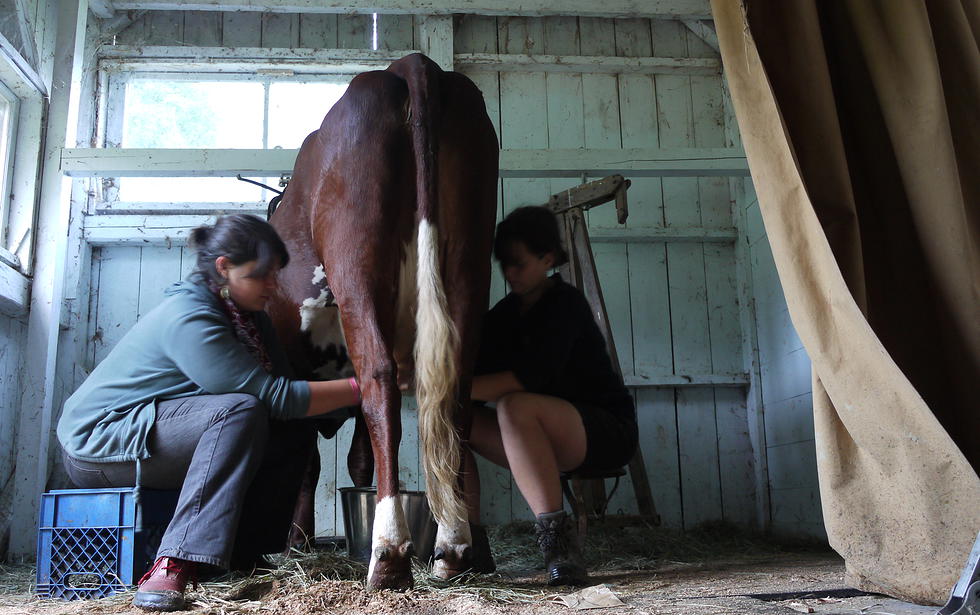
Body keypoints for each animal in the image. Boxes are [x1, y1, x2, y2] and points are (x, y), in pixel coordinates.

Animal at [265, 53, 499, 591]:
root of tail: (411, 64)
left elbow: (312, 462)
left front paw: (295, 543)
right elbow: (358, 461)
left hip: (357, 259)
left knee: (381, 383)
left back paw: (388, 554)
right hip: (469, 260)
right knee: (456, 393)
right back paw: (453, 550)